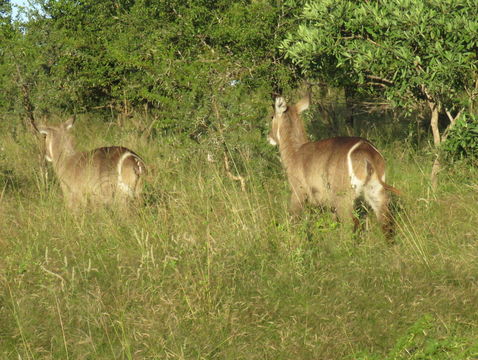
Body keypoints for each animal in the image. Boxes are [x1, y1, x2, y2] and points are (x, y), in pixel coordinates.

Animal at [268, 94, 400, 238]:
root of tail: (366, 151)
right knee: (386, 223)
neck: (295, 151)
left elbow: (293, 217)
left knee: (351, 224)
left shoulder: (298, 191)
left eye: (272, 116)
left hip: (343, 196)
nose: (269, 137)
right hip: (375, 191)